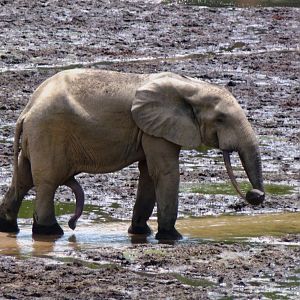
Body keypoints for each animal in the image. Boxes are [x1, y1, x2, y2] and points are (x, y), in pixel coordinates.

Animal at [0, 69, 264, 240]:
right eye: (221, 119)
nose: (255, 195)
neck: (191, 87)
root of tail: (26, 110)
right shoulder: (157, 129)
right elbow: (165, 173)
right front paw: (173, 237)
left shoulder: (151, 129)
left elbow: (148, 174)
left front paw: (140, 233)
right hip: (48, 132)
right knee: (47, 181)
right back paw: (51, 232)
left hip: (36, 137)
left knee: (23, 178)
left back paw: (9, 228)